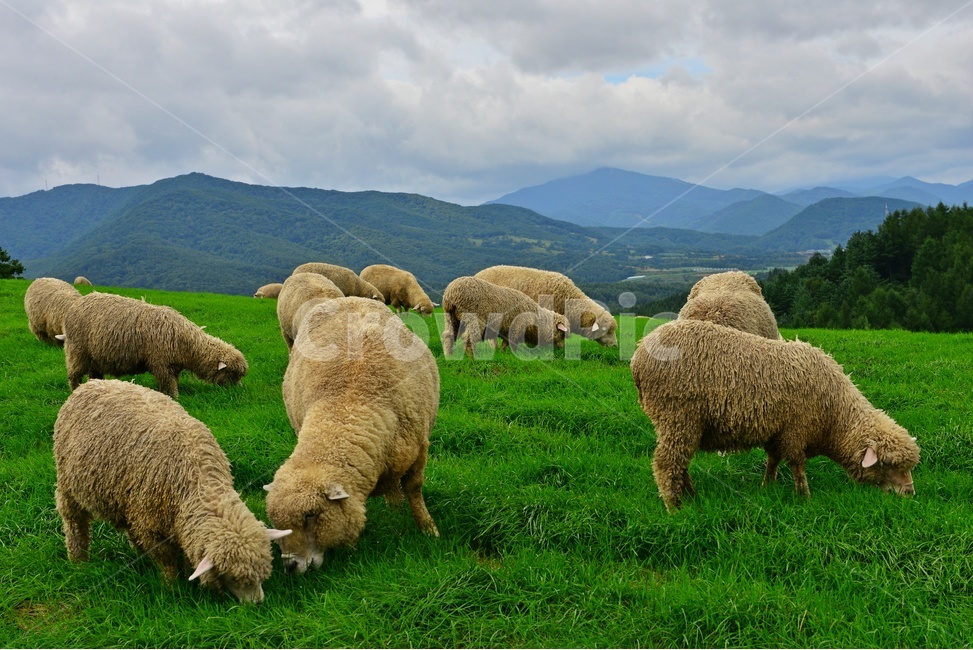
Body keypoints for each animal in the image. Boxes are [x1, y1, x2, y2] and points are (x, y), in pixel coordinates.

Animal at [53, 379, 291, 603]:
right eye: (233, 577)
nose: (257, 603)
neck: (198, 483)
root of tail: (91, 383)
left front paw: (187, 575)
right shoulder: (151, 525)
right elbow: (166, 560)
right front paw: (172, 585)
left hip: (125, 499)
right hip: (68, 486)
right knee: (74, 522)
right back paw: (78, 560)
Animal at [63, 291, 247, 398]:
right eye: (232, 374)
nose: (238, 391)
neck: (187, 344)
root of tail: (76, 304)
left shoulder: (172, 366)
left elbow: (170, 382)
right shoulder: (161, 363)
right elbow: (169, 385)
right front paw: (174, 397)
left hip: (95, 357)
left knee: (94, 374)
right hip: (77, 350)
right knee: (73, 375)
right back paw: (74, 389)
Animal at [265, 297, 440, 574]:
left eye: (311, 515)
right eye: (274, 521)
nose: (291, 566)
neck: (348, 404)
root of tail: (347, 298)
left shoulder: (420, 448)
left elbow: (414, 488)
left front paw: (427, 528)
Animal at [440, 276, 570, 357]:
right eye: (561, 334)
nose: (561, 350)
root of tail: (451, 293)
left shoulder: (507, 330)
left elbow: (505, 344)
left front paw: (502, 353)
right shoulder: (516, 329)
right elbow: (513, 344)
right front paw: (515, 355)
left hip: (451, 318)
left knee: (448, 335)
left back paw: (449, 355)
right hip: (473, 318)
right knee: (468, 338)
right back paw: (472, 356)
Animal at [630, 318, 920, 512]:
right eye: (888, 464)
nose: (909, 493)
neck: (834, 415)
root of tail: (638, 355)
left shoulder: (777, 431)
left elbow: (773, 460)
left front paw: (767, 486)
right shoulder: (795, 430)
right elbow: (797, 466)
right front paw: (805, 497)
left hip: (683, 423)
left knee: (680, 462)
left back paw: (691, 496)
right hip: (677, 415)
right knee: (666, 464)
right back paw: (674, 506)